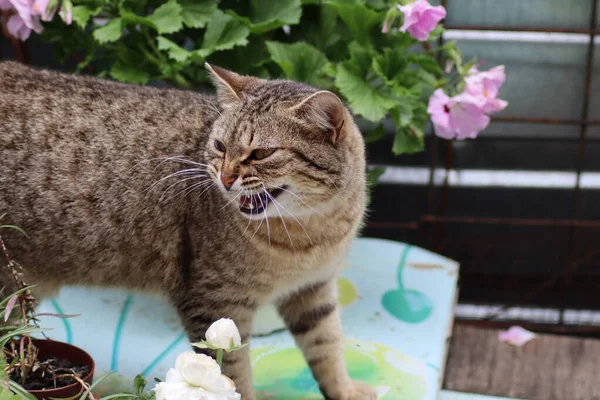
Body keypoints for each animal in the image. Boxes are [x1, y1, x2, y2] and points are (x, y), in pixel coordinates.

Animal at [0, 61, 372, 398]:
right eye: (220, 146)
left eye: (261, 153)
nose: (225, 178)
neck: (311, 231)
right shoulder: (215, 302)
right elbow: (231, 374)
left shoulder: (313, 288)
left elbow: (327, 347)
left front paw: (344, 390)